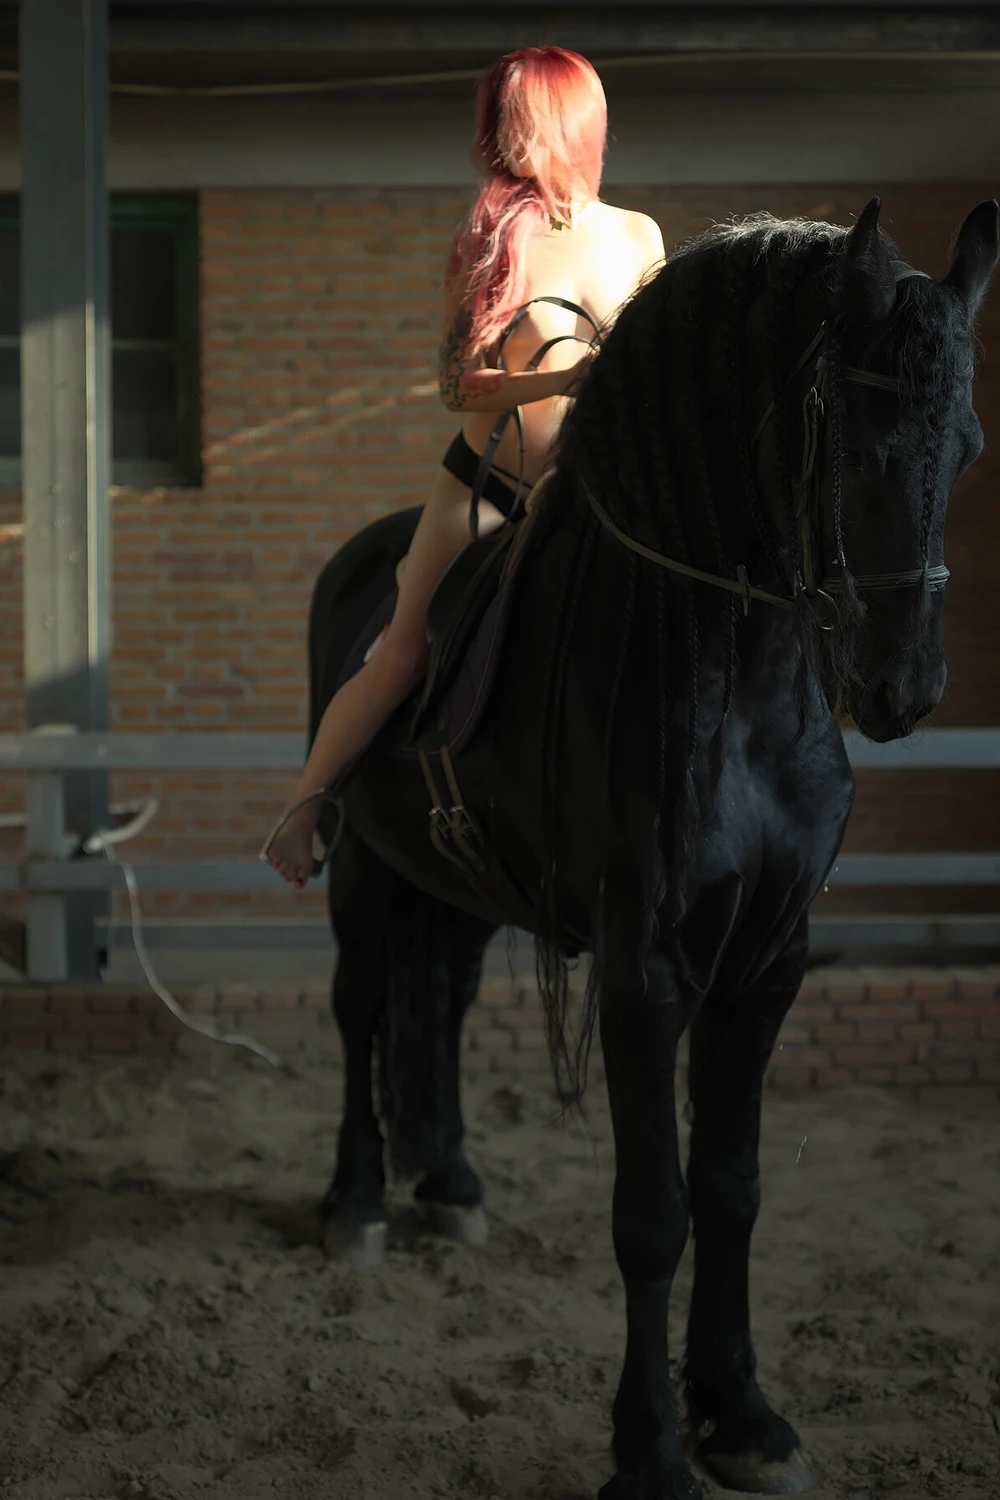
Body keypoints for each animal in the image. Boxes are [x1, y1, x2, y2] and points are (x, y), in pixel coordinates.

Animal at [307, 198, 997, 1499]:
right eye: (857, 442)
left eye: (969, 447)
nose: (901, 688)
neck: (739, 684)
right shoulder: (644, 977)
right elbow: (651, 1215)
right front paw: (650, 1450)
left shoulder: (768, 962)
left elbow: (729, 1191)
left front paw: (743, 1417)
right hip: (363, 868)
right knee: (365, 1006)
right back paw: (358, 1203)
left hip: (456, 884)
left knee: (440, 1003)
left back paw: (449, 1181)